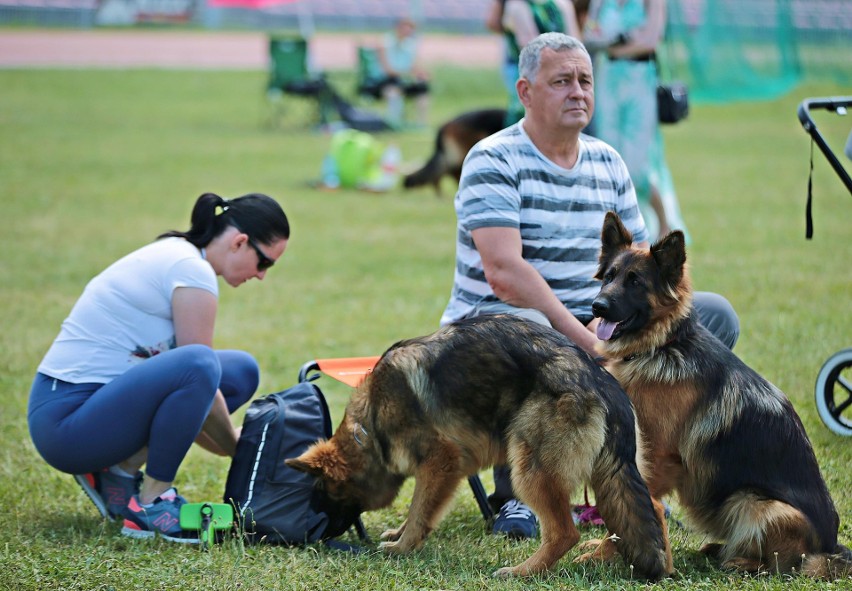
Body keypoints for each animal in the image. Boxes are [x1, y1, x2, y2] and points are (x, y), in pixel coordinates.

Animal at [290, 316, 668, 580]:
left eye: (324, 492)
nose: (314, 538)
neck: (369, 427)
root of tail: (601, 382)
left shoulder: (440, 461)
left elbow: (419, 509)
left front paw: (402, 546)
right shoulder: (446, 470)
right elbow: (420, 508)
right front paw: (399, 534)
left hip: (530, 469)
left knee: (564, 532)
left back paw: (523, 572)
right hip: (608, 476)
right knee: (650, 509)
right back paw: (631, 558)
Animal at [584, 212, 852, 580]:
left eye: (635, 282)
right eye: (609, 277)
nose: (596, 307)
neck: (662, 345)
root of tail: (830, 547)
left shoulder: (653, 455)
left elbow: (632, 505)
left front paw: (608, 554)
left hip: (753, 503)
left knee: (782, 563)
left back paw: (740, 561)